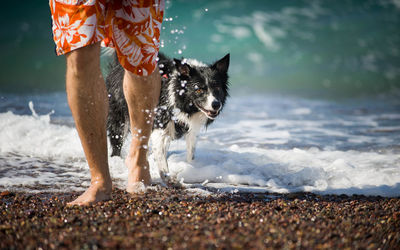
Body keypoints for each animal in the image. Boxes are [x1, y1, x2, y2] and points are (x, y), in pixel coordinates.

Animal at [106, 52, 230, 185]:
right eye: (199, 89)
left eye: (217, 88)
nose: (216, 104)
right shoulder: (160, 127)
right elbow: (161, 158)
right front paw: (168, 178)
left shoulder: (191, 130)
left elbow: (190, 153)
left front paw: (192, 169)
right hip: (120, 119)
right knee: (117, 145)